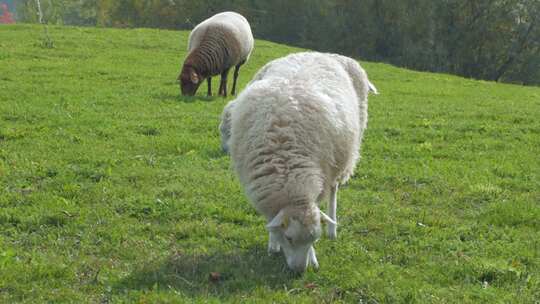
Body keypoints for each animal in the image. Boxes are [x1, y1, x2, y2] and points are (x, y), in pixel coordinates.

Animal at [221, 51, 378, 272]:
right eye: (289, 238)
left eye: (314, 240)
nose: (300, 271)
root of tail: (323, 53)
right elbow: (272, 221)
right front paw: (273, 244)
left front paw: (312, 258)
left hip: (341, 160)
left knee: (333, 192)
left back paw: (332, 228)